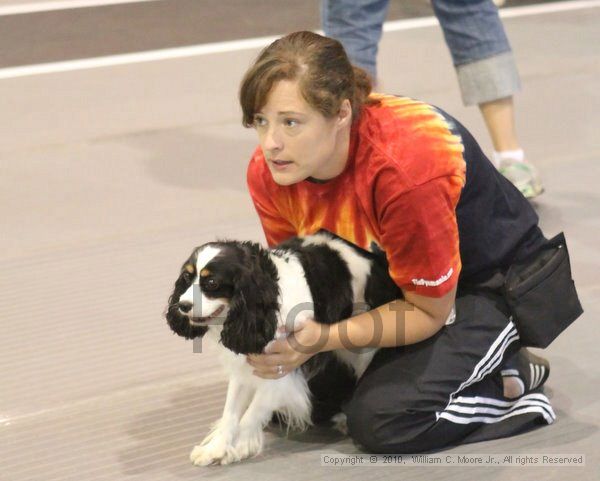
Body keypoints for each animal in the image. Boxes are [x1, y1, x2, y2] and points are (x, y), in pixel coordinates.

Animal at [164, 231, 400, 464]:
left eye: (212, 283)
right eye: (186, 278)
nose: (182, 305)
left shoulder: (280, 371)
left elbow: (250, 414)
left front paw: (239, 447)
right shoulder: (245, 366)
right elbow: (230, 411)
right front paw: (215, 448)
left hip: (364, 350)